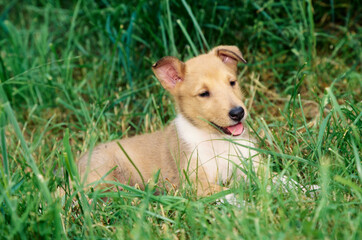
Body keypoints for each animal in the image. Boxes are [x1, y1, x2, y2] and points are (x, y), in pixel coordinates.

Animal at [78, 46, 260, 196]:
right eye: (204, 93)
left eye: (232, 83)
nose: (238, 113)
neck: (219, 140)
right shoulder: (196, 183)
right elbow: (230, 192)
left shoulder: (254, 164)